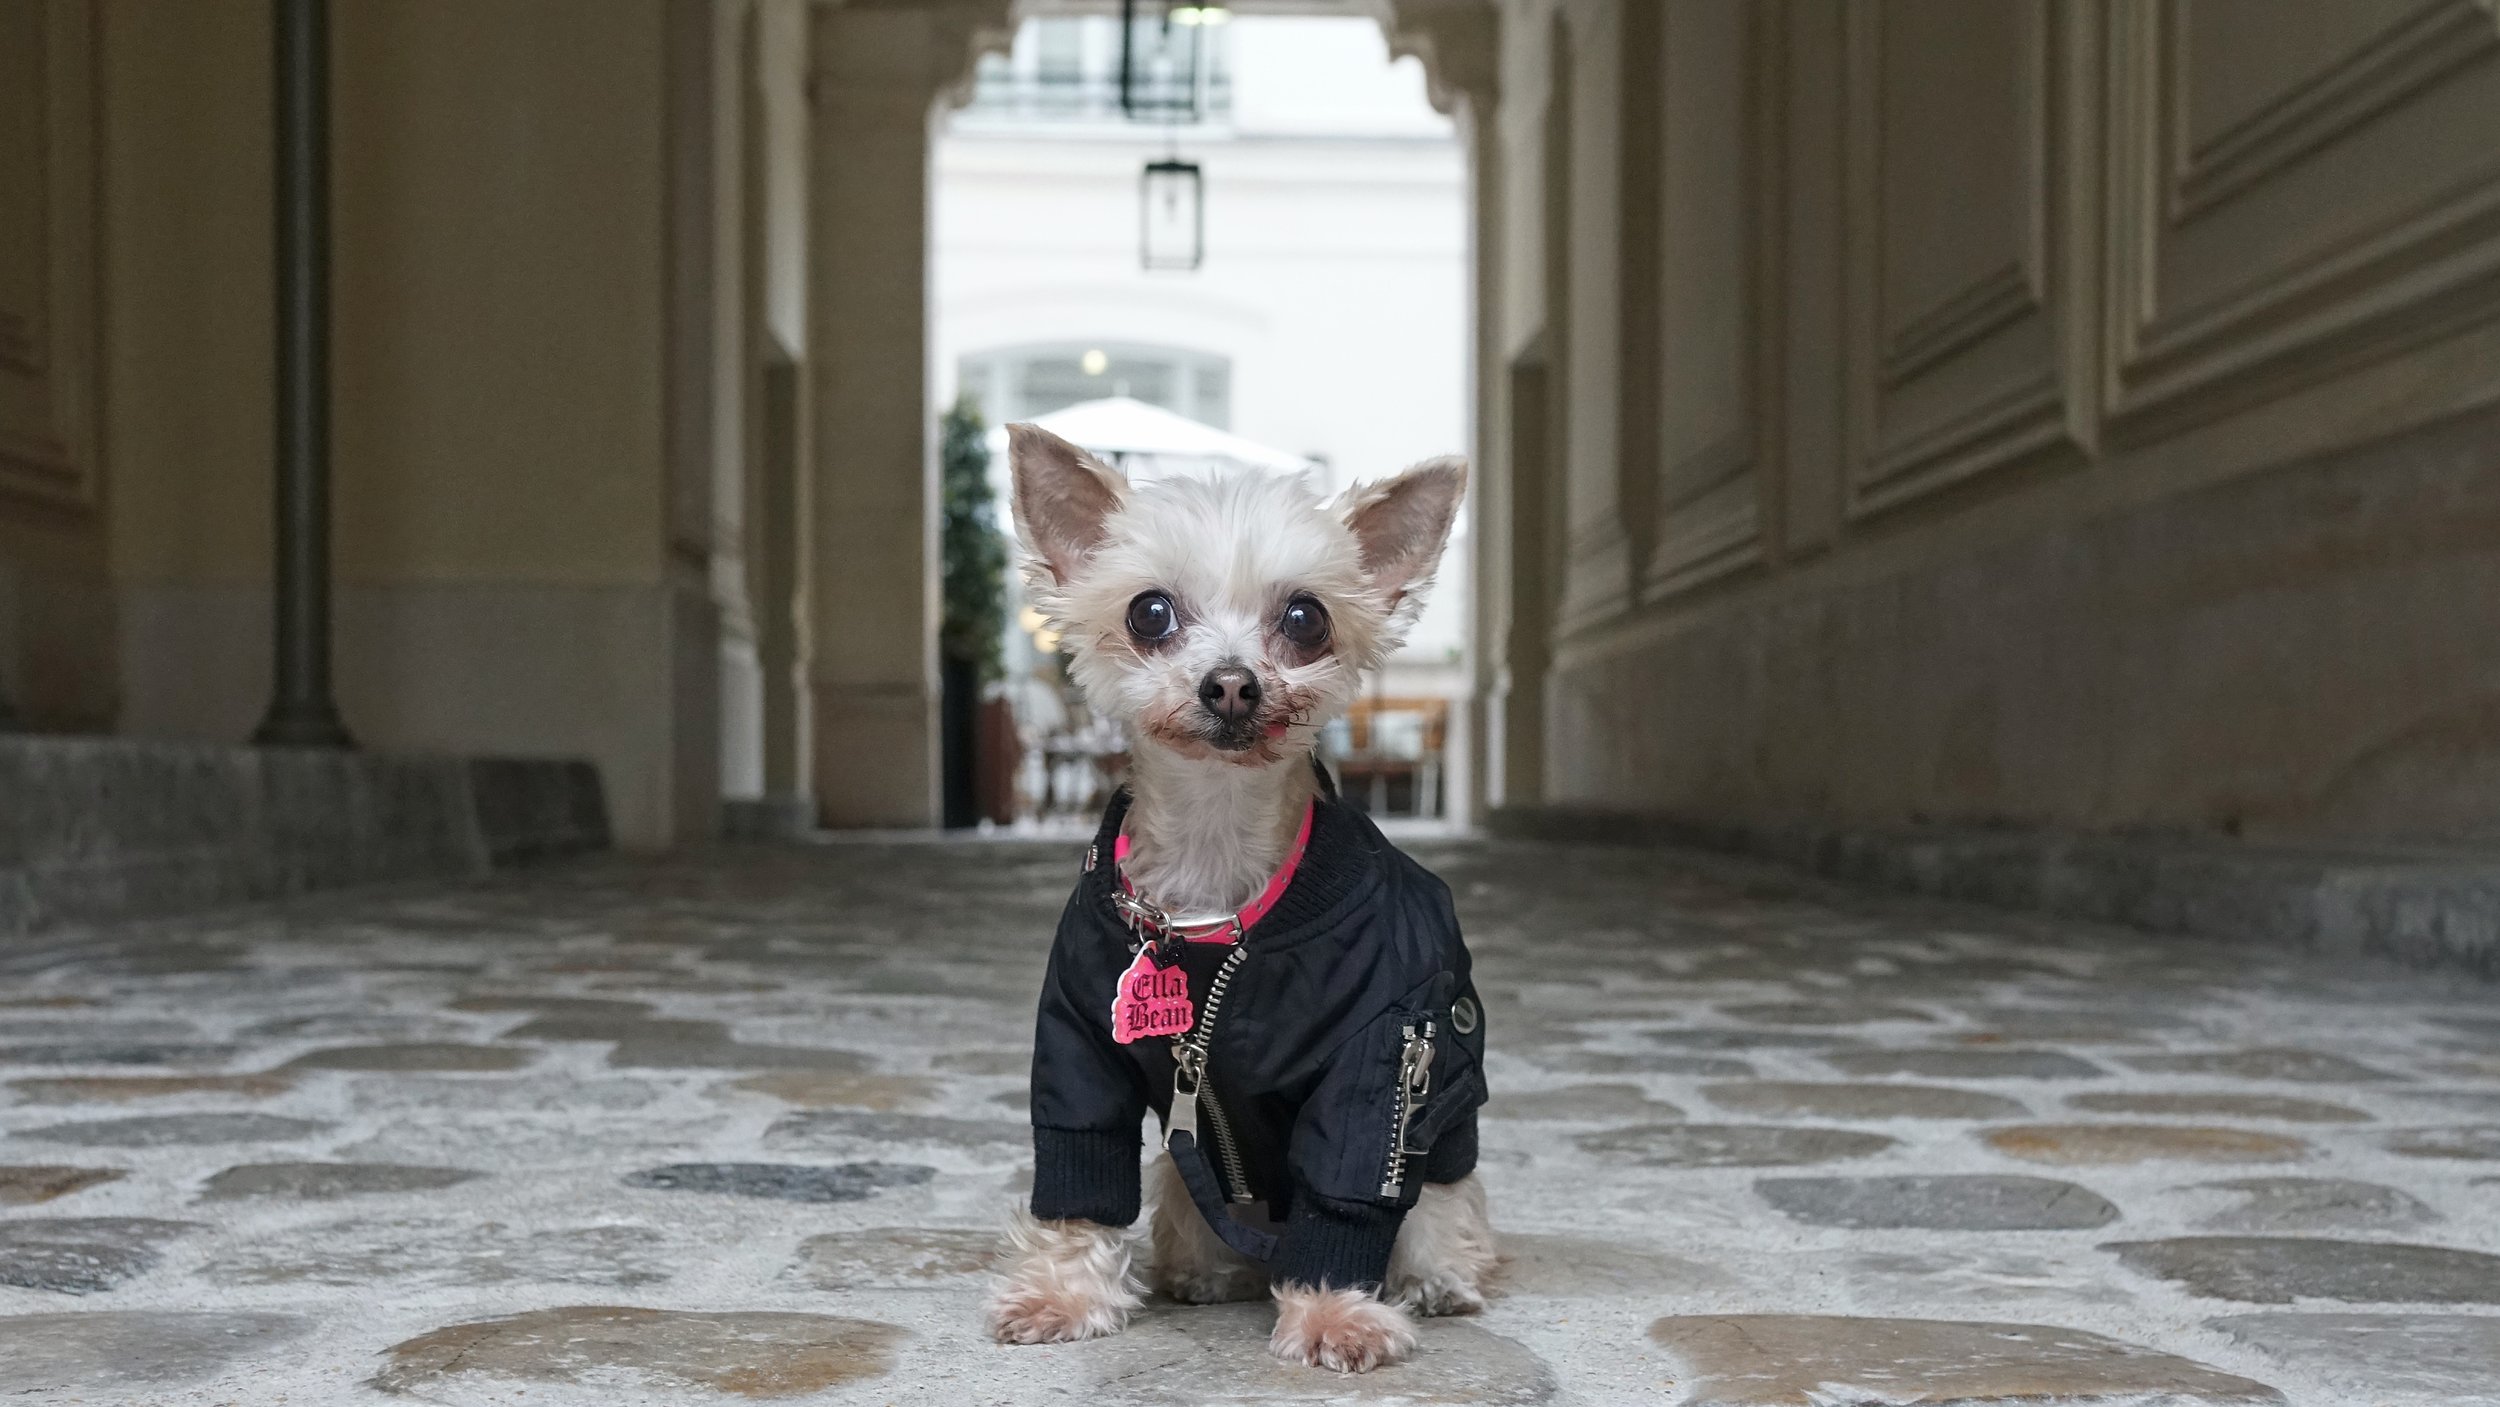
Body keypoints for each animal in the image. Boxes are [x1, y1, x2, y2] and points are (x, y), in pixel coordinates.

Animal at [980, 424, 1490, 1369]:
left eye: (1305, 618)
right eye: (1149, 613)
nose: (1230, 682)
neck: (1213, 892)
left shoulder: (1379, 1055)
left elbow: (1353, 1178)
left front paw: (1333, 1309)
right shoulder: (1077, 1047)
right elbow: (1079, 1164)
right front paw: (1063, 1293)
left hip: (1440, 1129)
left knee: (1438, 1205)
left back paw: (1436, 1277)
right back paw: (1205, 1269)